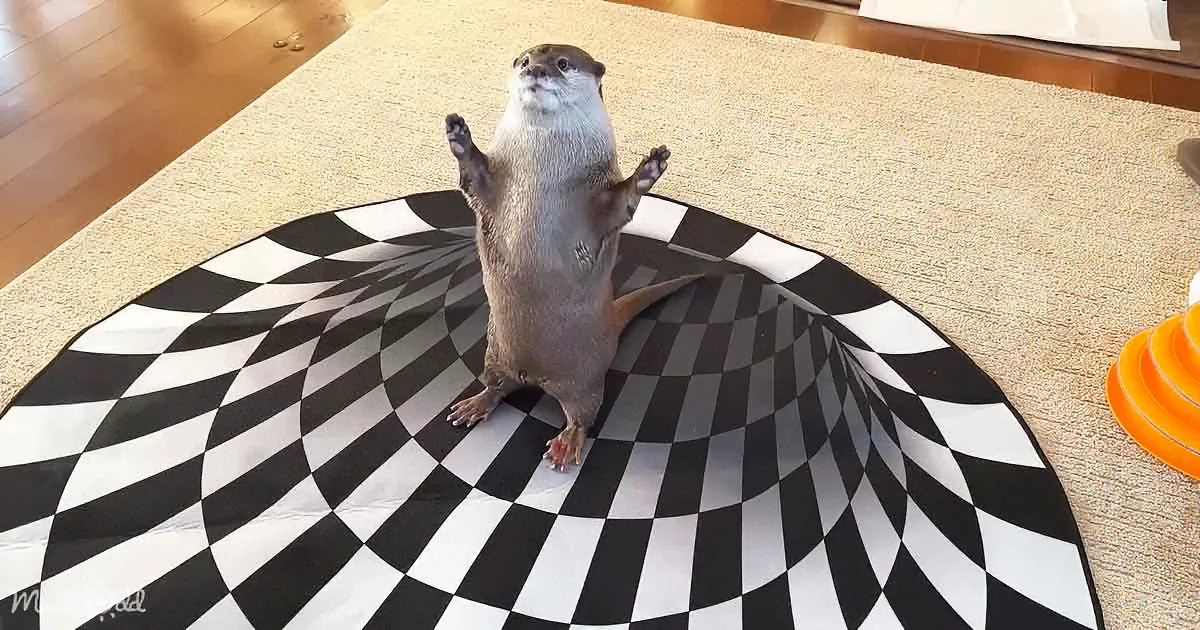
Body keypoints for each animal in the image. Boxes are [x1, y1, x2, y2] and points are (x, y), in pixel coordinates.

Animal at [442, 43, 700, 471]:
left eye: (563, 64)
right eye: (524, 60)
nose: (535, 70)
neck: (543, 169)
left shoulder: (598, 200)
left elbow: (621, 203)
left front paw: (649, 170)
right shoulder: (492, 184)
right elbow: (474, 177)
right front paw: (459, 137)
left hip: (586, 379)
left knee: (582, 414)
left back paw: (566, 443)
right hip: (495, 351)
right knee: (497, 385)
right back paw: (475, 404)